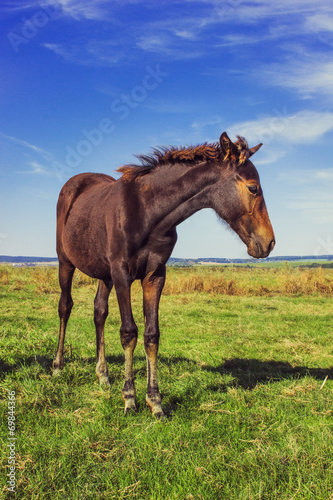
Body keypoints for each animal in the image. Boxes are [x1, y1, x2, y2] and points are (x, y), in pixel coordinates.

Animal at [52, 131, 274, 416]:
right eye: (253, 188)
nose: (269, 243)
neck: (147, 212)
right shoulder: (122, 274)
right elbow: (128, 332)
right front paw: (130, 398)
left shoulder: (155, 276)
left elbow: (151, 334)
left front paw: (155, 400)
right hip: (66, 262)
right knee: (65, 306)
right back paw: (58, 366)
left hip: (104, 274)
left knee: (99, 311)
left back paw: (103, 374)